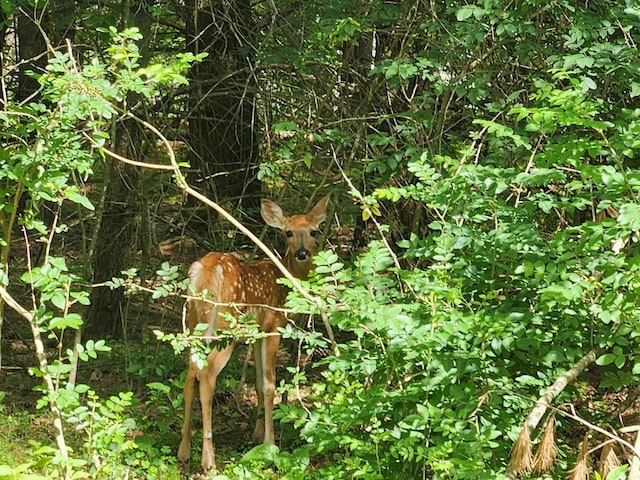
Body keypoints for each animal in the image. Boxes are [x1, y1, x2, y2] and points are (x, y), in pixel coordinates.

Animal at [179, 193, 330, 470]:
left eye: (314, 231)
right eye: (288, 232)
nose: (303, 253)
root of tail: (203, 271)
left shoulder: (258, 333)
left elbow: (259, 383)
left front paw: (256, 435)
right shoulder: (274, 326)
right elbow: (269, 385)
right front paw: (270, 445)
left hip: (194, 323)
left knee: (190, 376)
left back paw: (183, 451)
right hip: (224, 327)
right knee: (206, 377)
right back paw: (208, 460)